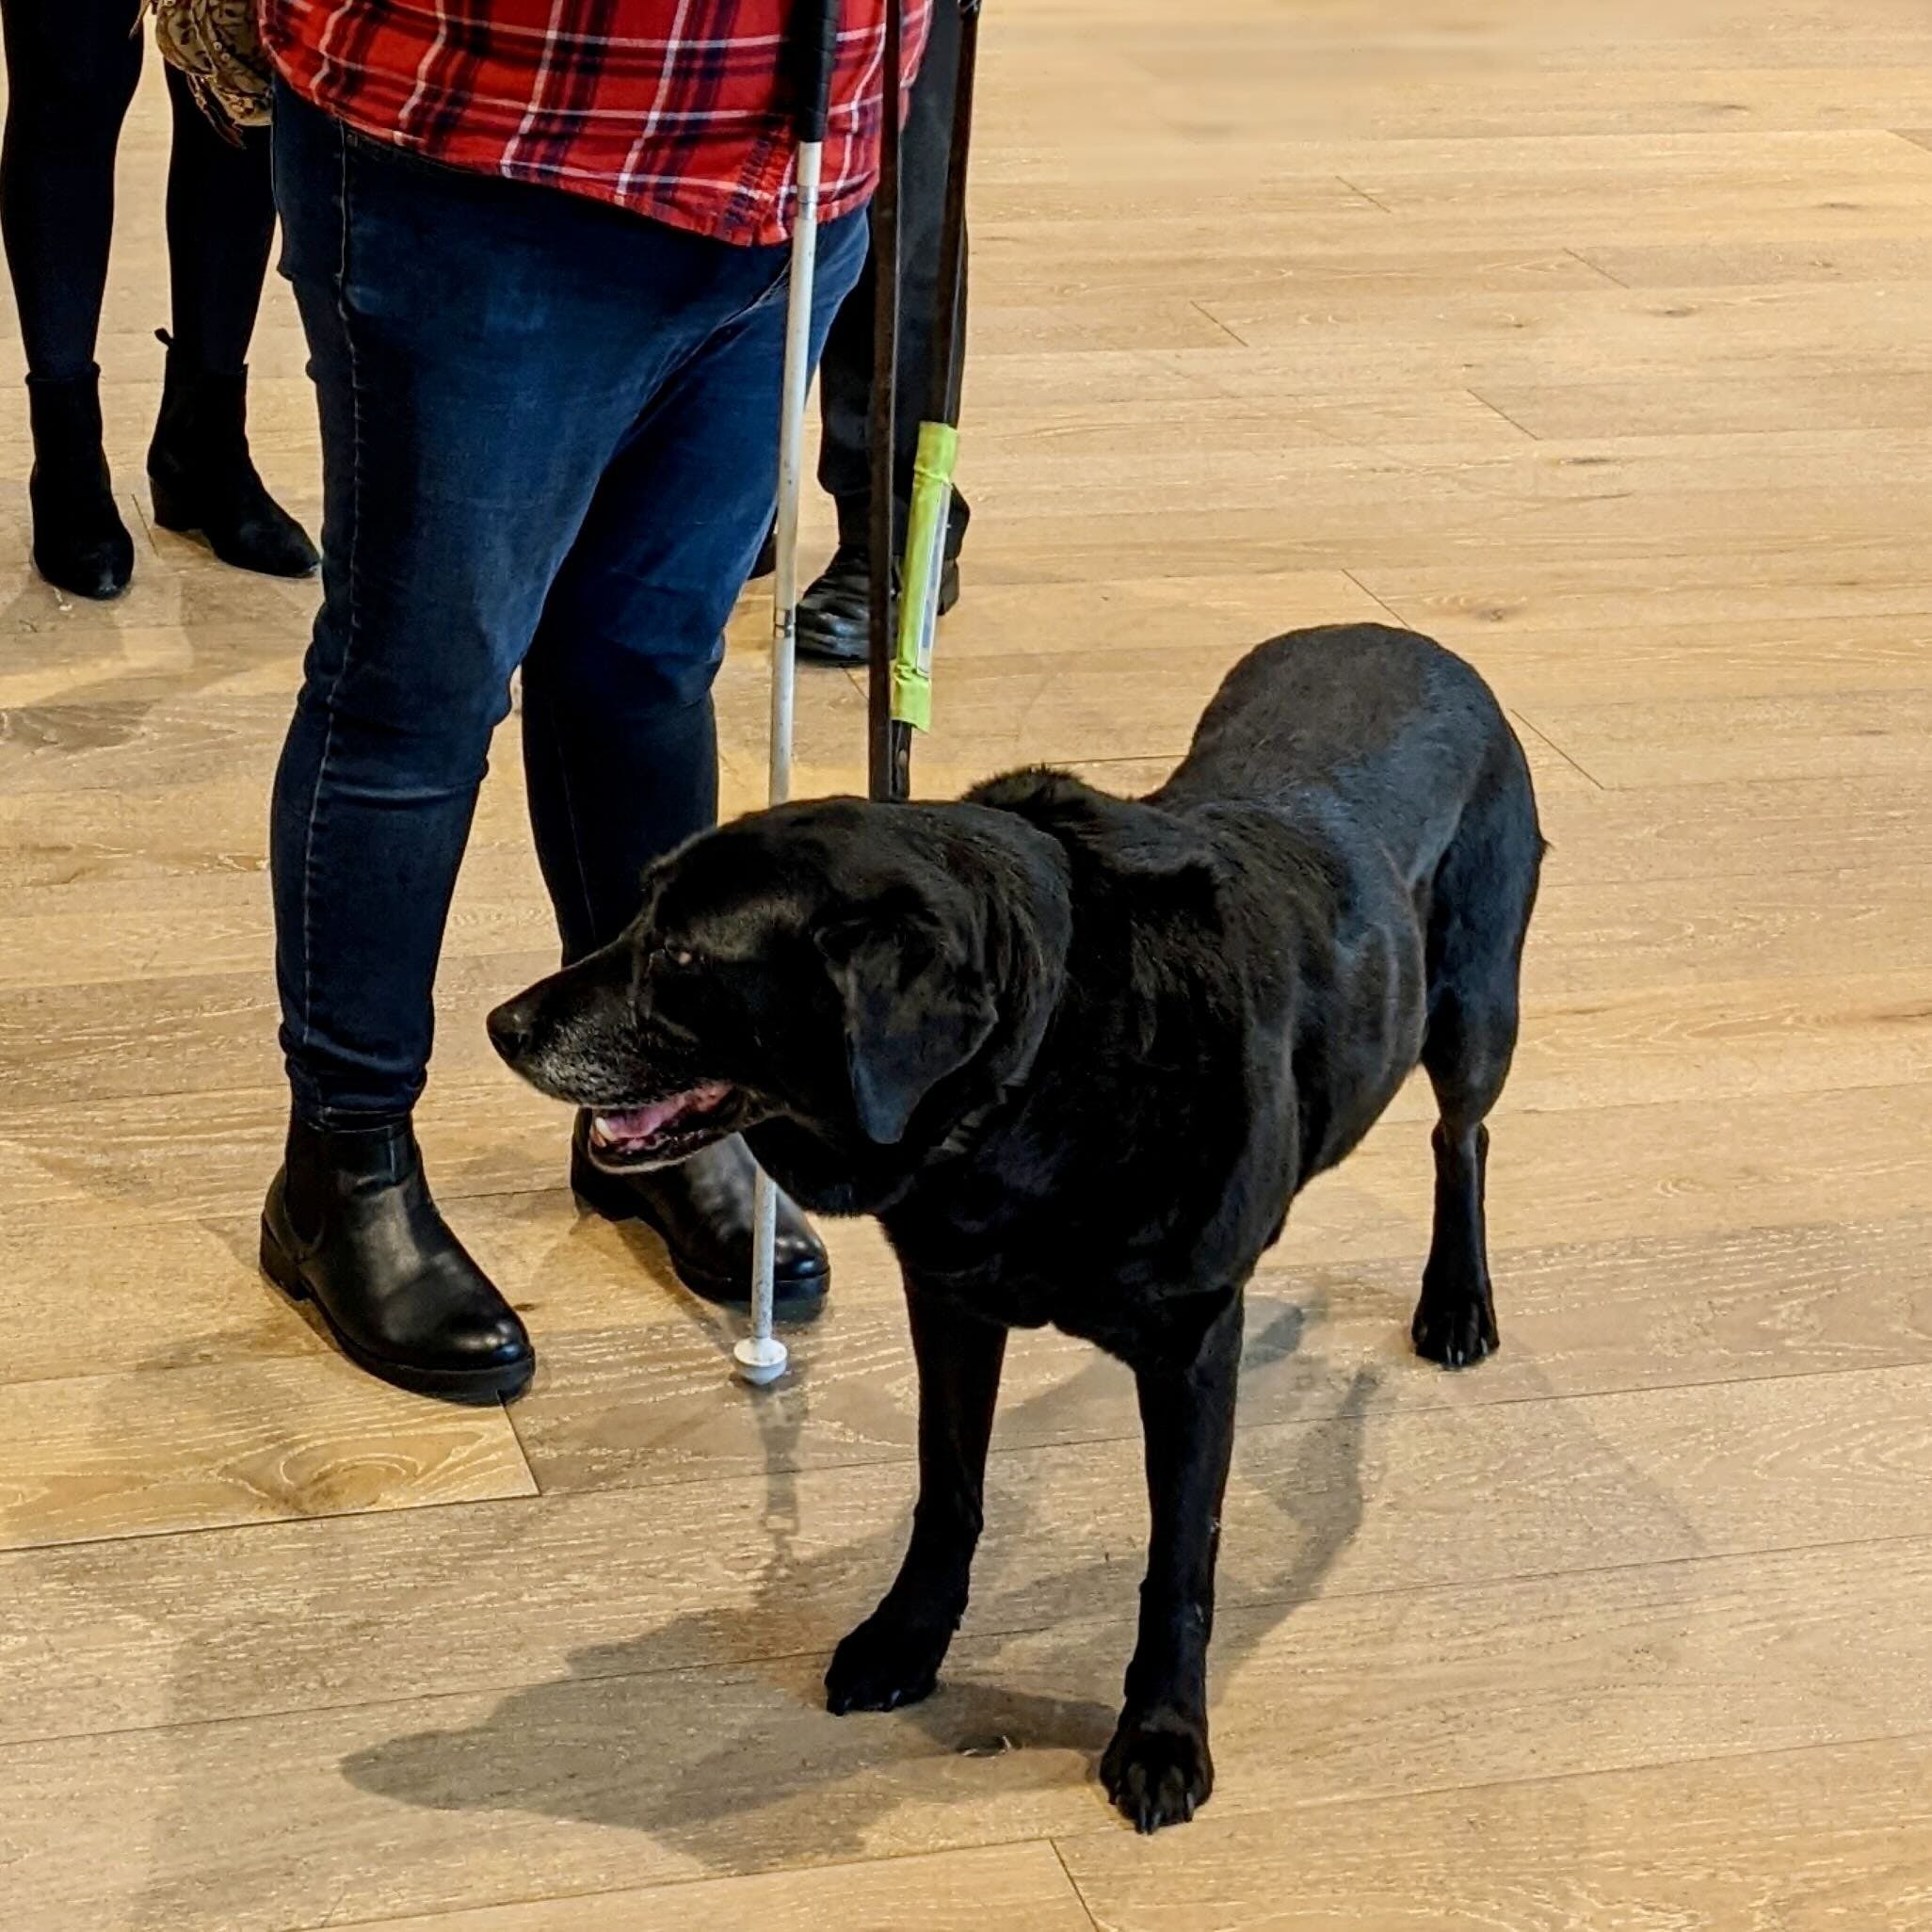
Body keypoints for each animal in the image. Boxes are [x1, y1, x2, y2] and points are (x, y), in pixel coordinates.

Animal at [494, 625, 1538, 1831]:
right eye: (637, 917)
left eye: (681, 960)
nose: (500, 1025)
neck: (1041, 1074)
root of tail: (1419, 644)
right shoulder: (950, 1298)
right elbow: (947, 1490)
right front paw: (906, 1639)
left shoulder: (1192, 1346)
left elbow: (1179, 1561)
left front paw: (1161, 1733)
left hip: (1474, 1009)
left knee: (1462, 1137)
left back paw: (1456, 1302)